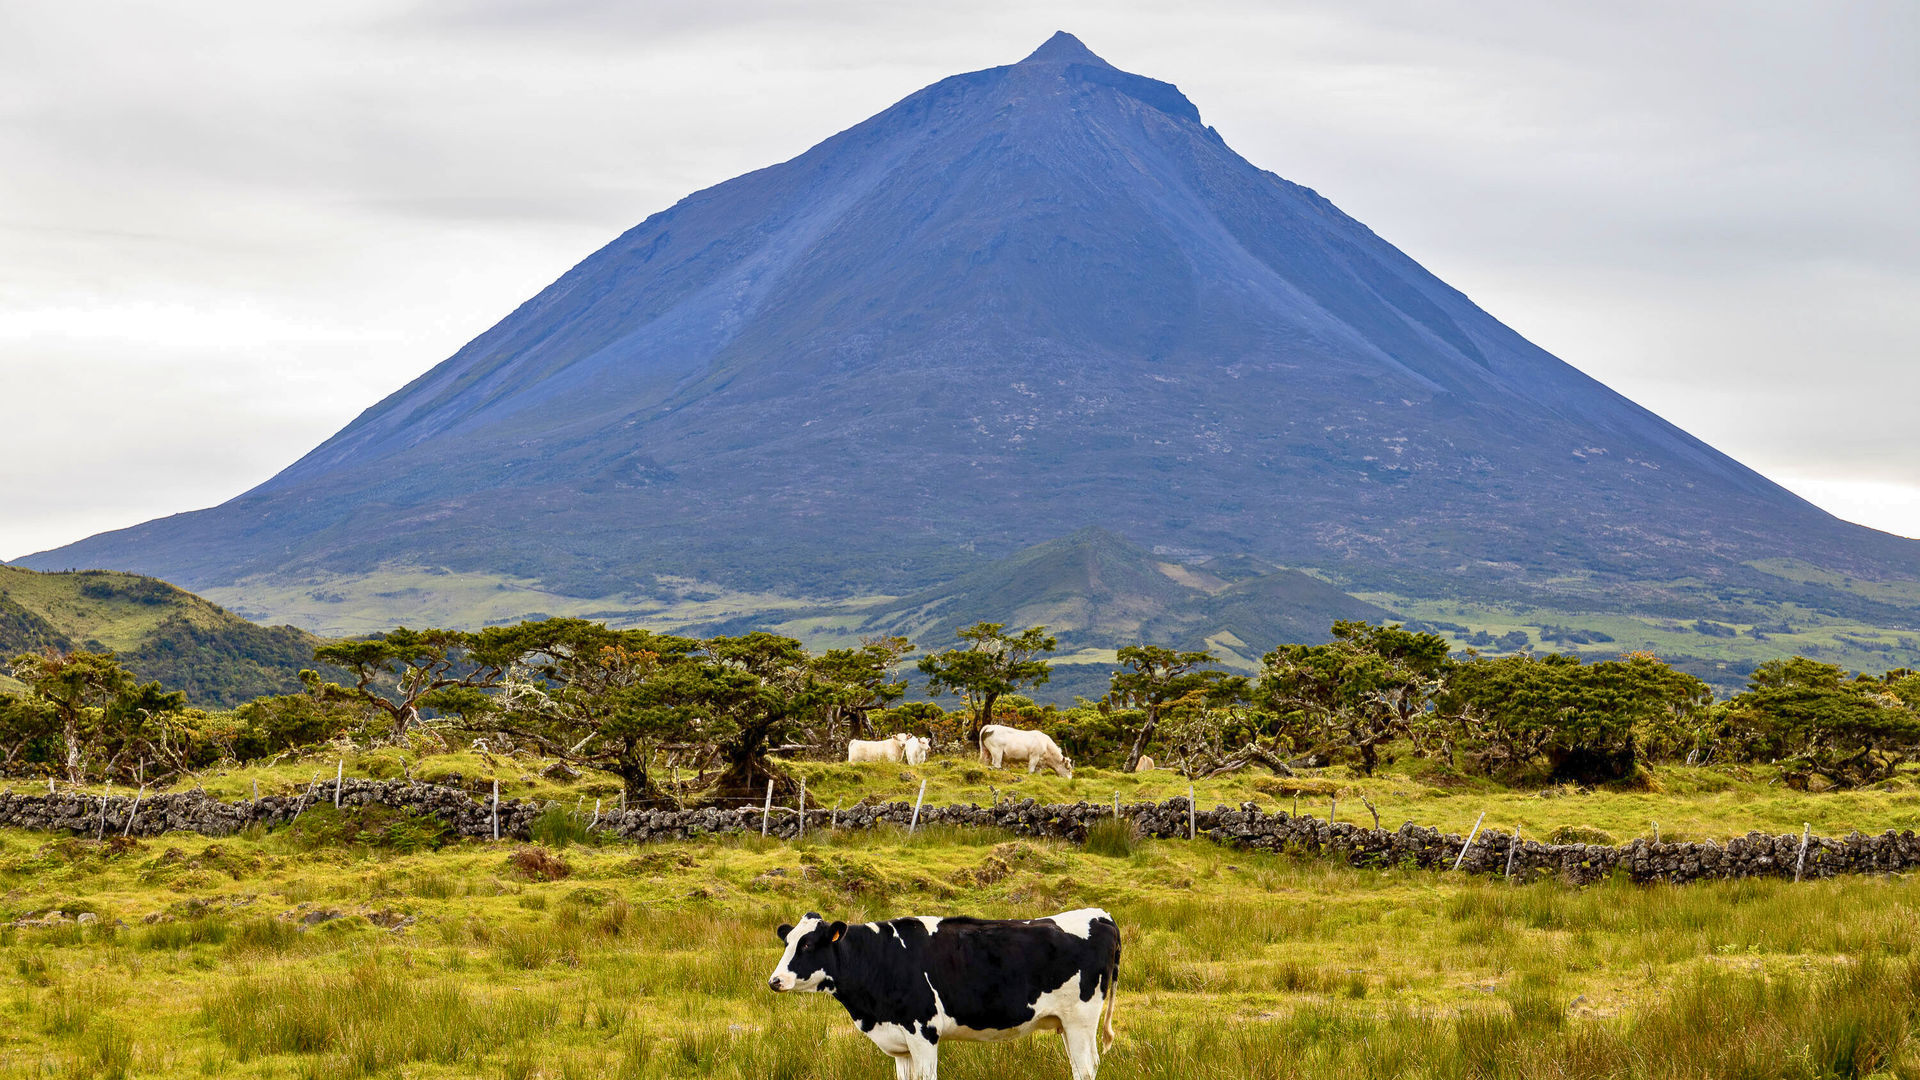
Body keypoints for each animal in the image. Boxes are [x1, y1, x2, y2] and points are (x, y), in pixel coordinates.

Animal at [769, 908, 1120, 1079]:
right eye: (787, 942)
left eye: (808, 945)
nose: (775, 980)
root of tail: (1101, 915)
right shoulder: (900, 1044)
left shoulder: (923, 1031)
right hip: (1067, 1024)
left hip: (1081, 1020)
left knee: (1086, 1068)